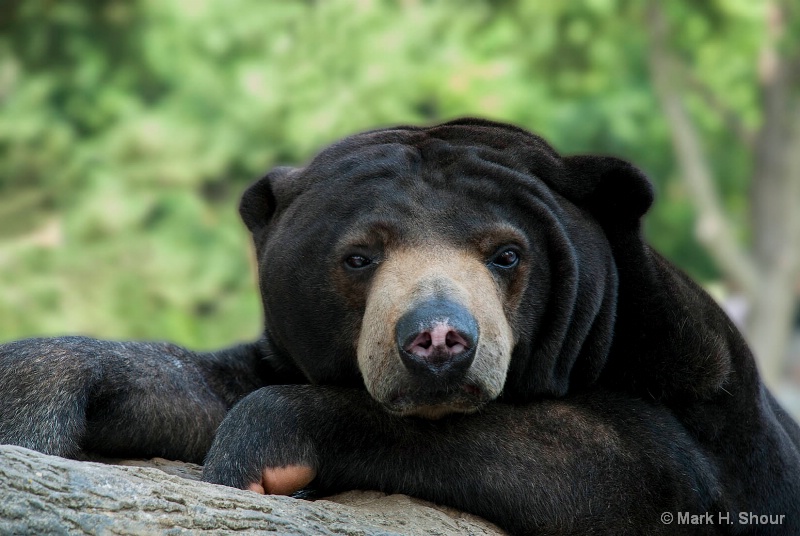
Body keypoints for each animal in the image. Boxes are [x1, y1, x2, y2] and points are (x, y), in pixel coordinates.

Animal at [1, 118, 800, 536]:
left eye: (507, 253)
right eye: (359, 257)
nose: (438, 341)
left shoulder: (702, 394)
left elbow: (632, 466)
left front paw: (257, 455)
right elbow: (205, 381)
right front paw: (31, 405)